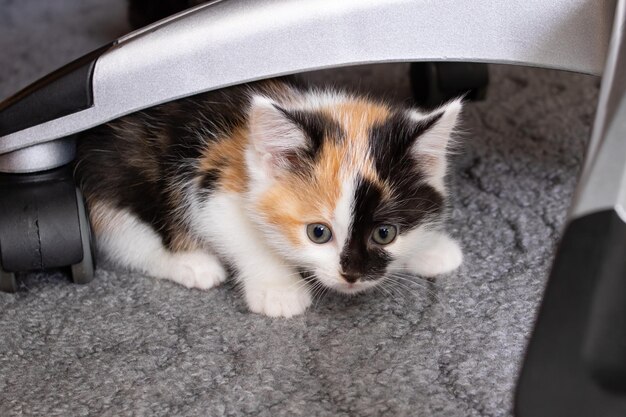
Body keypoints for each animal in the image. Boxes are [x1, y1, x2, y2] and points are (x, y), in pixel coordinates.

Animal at [74, 78, 464, 316]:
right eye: (318, 233)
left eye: (385, 234)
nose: (351, 275)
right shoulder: (213, 184)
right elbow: (245, 237)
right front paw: (279, 288)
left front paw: (431, 249)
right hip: (116, 183)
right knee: (125, 240)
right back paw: (192, 264)